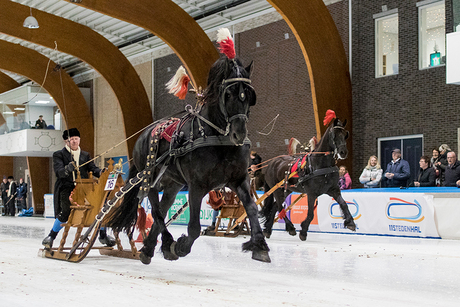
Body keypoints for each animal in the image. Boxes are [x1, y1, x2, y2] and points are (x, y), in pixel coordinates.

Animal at [108, 55, 270, 262]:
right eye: (228, 94)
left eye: (249, 95)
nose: (239, 134)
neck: (218, 138)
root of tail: (144, 134)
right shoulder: (196, 185)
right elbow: (194, 227)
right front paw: (182, 246)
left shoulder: (239, 180)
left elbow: (251, 208)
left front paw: (259, 245)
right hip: (151, 181)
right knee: (156, 211)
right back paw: (168, 243)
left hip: (173, 184)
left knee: (162, 209)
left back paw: (150, 247)